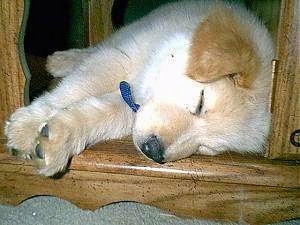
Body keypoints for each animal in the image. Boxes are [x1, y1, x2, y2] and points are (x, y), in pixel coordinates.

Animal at [4, 0, 274, 176]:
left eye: (209, 147)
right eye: (200, 102)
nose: (153, 152)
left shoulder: (133, 105)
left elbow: (97, 114)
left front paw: (56, 141)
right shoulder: (119, 60)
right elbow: (74, 89)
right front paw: (26, 127)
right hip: (124, 36)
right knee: (97, 49)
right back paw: (61, 60)